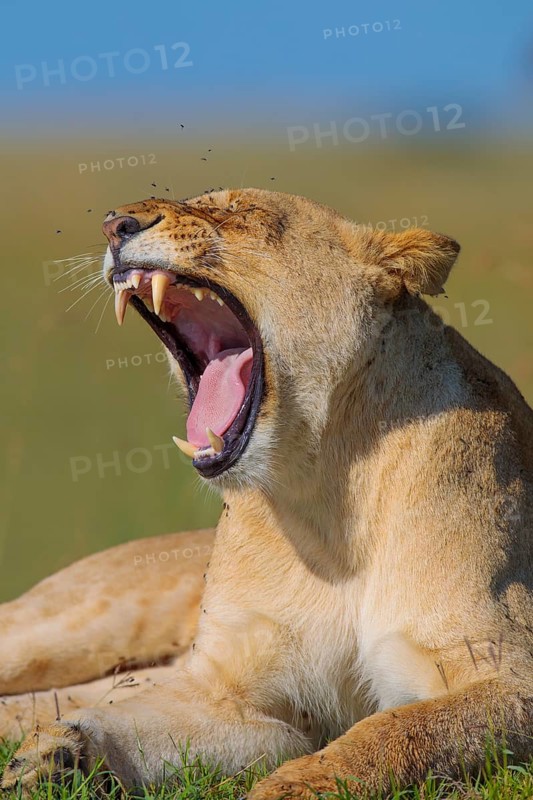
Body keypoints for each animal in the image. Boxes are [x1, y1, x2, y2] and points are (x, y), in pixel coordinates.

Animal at [1, 188, 532, 799]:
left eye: (243, 212)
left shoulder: (505, 671)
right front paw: (55, 755)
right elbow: (131, 725)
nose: (115, 225)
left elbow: (392, 731)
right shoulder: (231, 693)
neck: (325, 494)